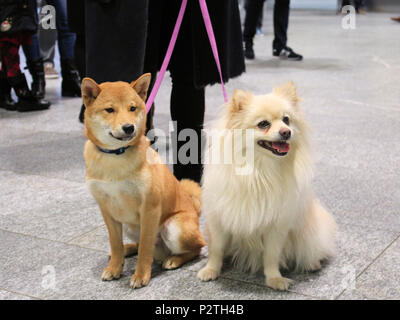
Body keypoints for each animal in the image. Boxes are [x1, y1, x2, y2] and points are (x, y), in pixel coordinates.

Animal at [82, 74, 206, 288]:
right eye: (110, 110)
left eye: (132, 108)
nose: (129, 127)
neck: (115, 157)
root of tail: (194, 210)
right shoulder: (106, 209)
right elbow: (114, 243)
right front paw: (115, 267)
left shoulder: (150, 208)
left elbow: (145, 248)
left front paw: (141, 275)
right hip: (130, 226)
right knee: (135, 243)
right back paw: (128, 248)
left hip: (174, 227)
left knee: (197, 247)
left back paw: (174, 259)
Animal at [197, 82, 338, 290]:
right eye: (263, 124)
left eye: (286, 120)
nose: (287, 132)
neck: (260, 170)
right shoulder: (219, 220)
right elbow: (217, 248)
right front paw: (211, 270)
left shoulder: (276, 225)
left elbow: (271, 255)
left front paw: (274, 279)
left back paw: (312, 263)